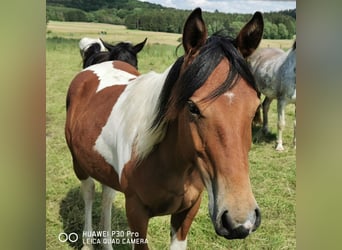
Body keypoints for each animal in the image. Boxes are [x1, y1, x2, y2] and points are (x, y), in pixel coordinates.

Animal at [66, 7, 264, 250]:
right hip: (79, 163)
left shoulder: (187, 211)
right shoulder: (136, 212)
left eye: (255, 107)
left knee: (107, 196)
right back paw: (87, 242)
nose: (240, 219)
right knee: (89, 193)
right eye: (192, 107)